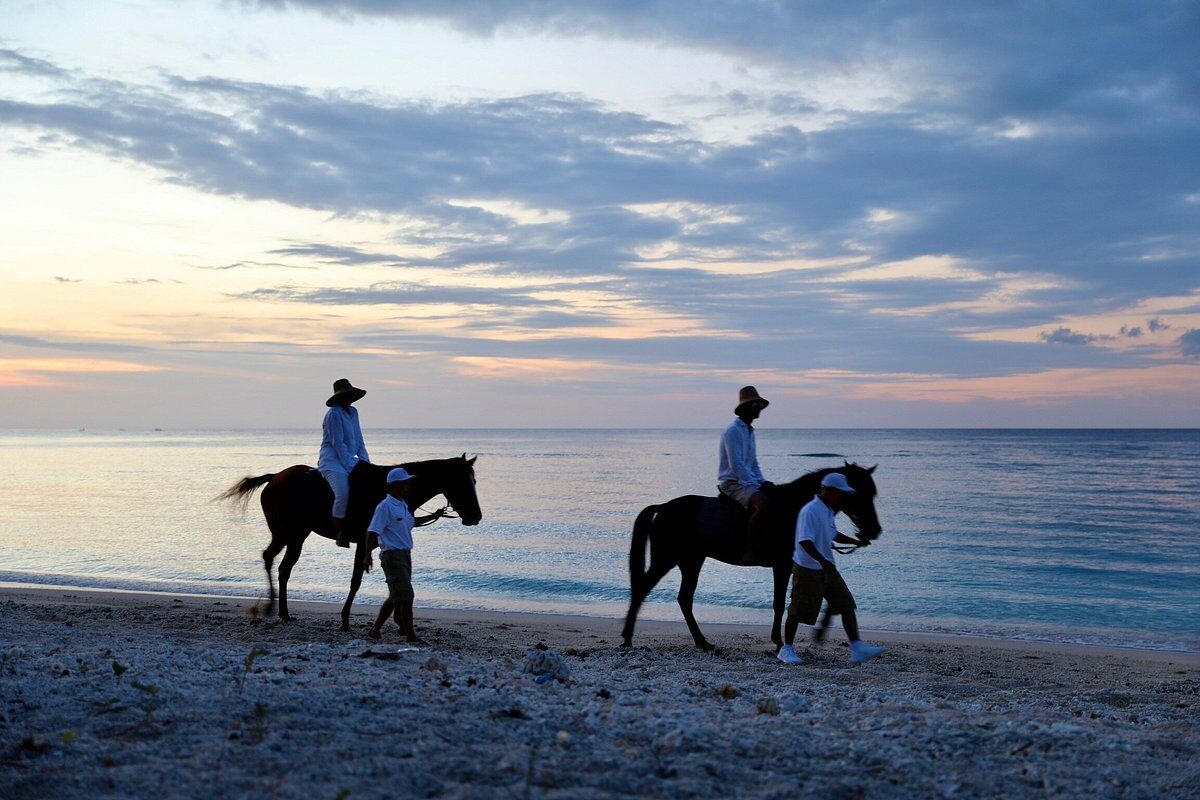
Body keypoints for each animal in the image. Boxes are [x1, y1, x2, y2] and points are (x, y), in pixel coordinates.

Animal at [218, 453, 480, 628]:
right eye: (462, 482)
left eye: (474, 481)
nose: (475, 516)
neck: (387, 491)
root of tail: (275, 478)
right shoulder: (364, 543)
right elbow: (356, 581)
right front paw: (345, 618)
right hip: (284, 532)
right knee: (269, 558)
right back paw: (271, 606)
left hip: (299, 534)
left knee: (284, 568)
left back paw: (283, 611)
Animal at [624, 462, 878, 652]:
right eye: (859, 493)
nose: (874, 530)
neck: (795, 509)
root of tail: (663, 507)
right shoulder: (783, 565)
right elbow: (779, 603)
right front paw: (778, 641)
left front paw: (820, 630)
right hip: (665, 560)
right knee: (643, 589)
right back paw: (627, 637)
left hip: (691, 562)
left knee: (684, 599)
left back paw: (702, 642)